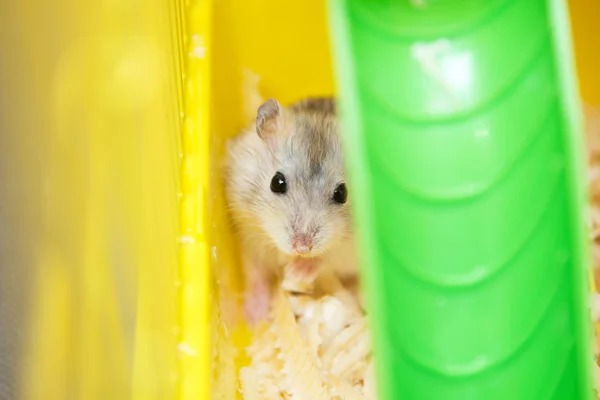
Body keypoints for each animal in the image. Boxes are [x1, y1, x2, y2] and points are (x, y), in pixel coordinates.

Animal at [224, 97, 356, 324]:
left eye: (342, 193)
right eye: (277, 182)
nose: (301, 248)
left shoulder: (351, 251)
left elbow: (326, 258)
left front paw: (297, 271)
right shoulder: (249, 234)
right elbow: (255, 273)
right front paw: (254, 317)